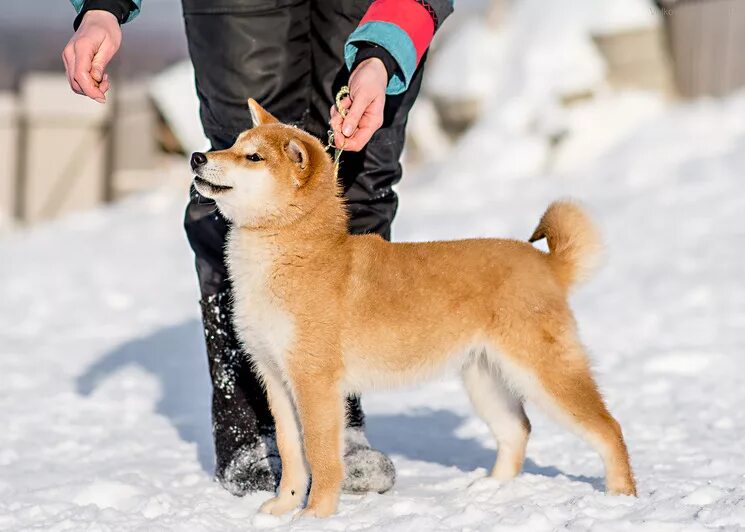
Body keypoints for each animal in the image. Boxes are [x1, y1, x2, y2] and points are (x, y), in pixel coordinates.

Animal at [190, 98, 632, 516]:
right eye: (232, 144)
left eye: (253, 157)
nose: (197, 157)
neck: (295, 255)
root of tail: (546, 264)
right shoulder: (276, 380)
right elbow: (290, 451)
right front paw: (284, 507)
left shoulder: (315, 383)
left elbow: (321, 455)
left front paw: (316, 513)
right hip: (485, 378)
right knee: (517, 430)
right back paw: (492, 488)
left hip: (545, 374)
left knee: (608, 428)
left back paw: (622, 497)